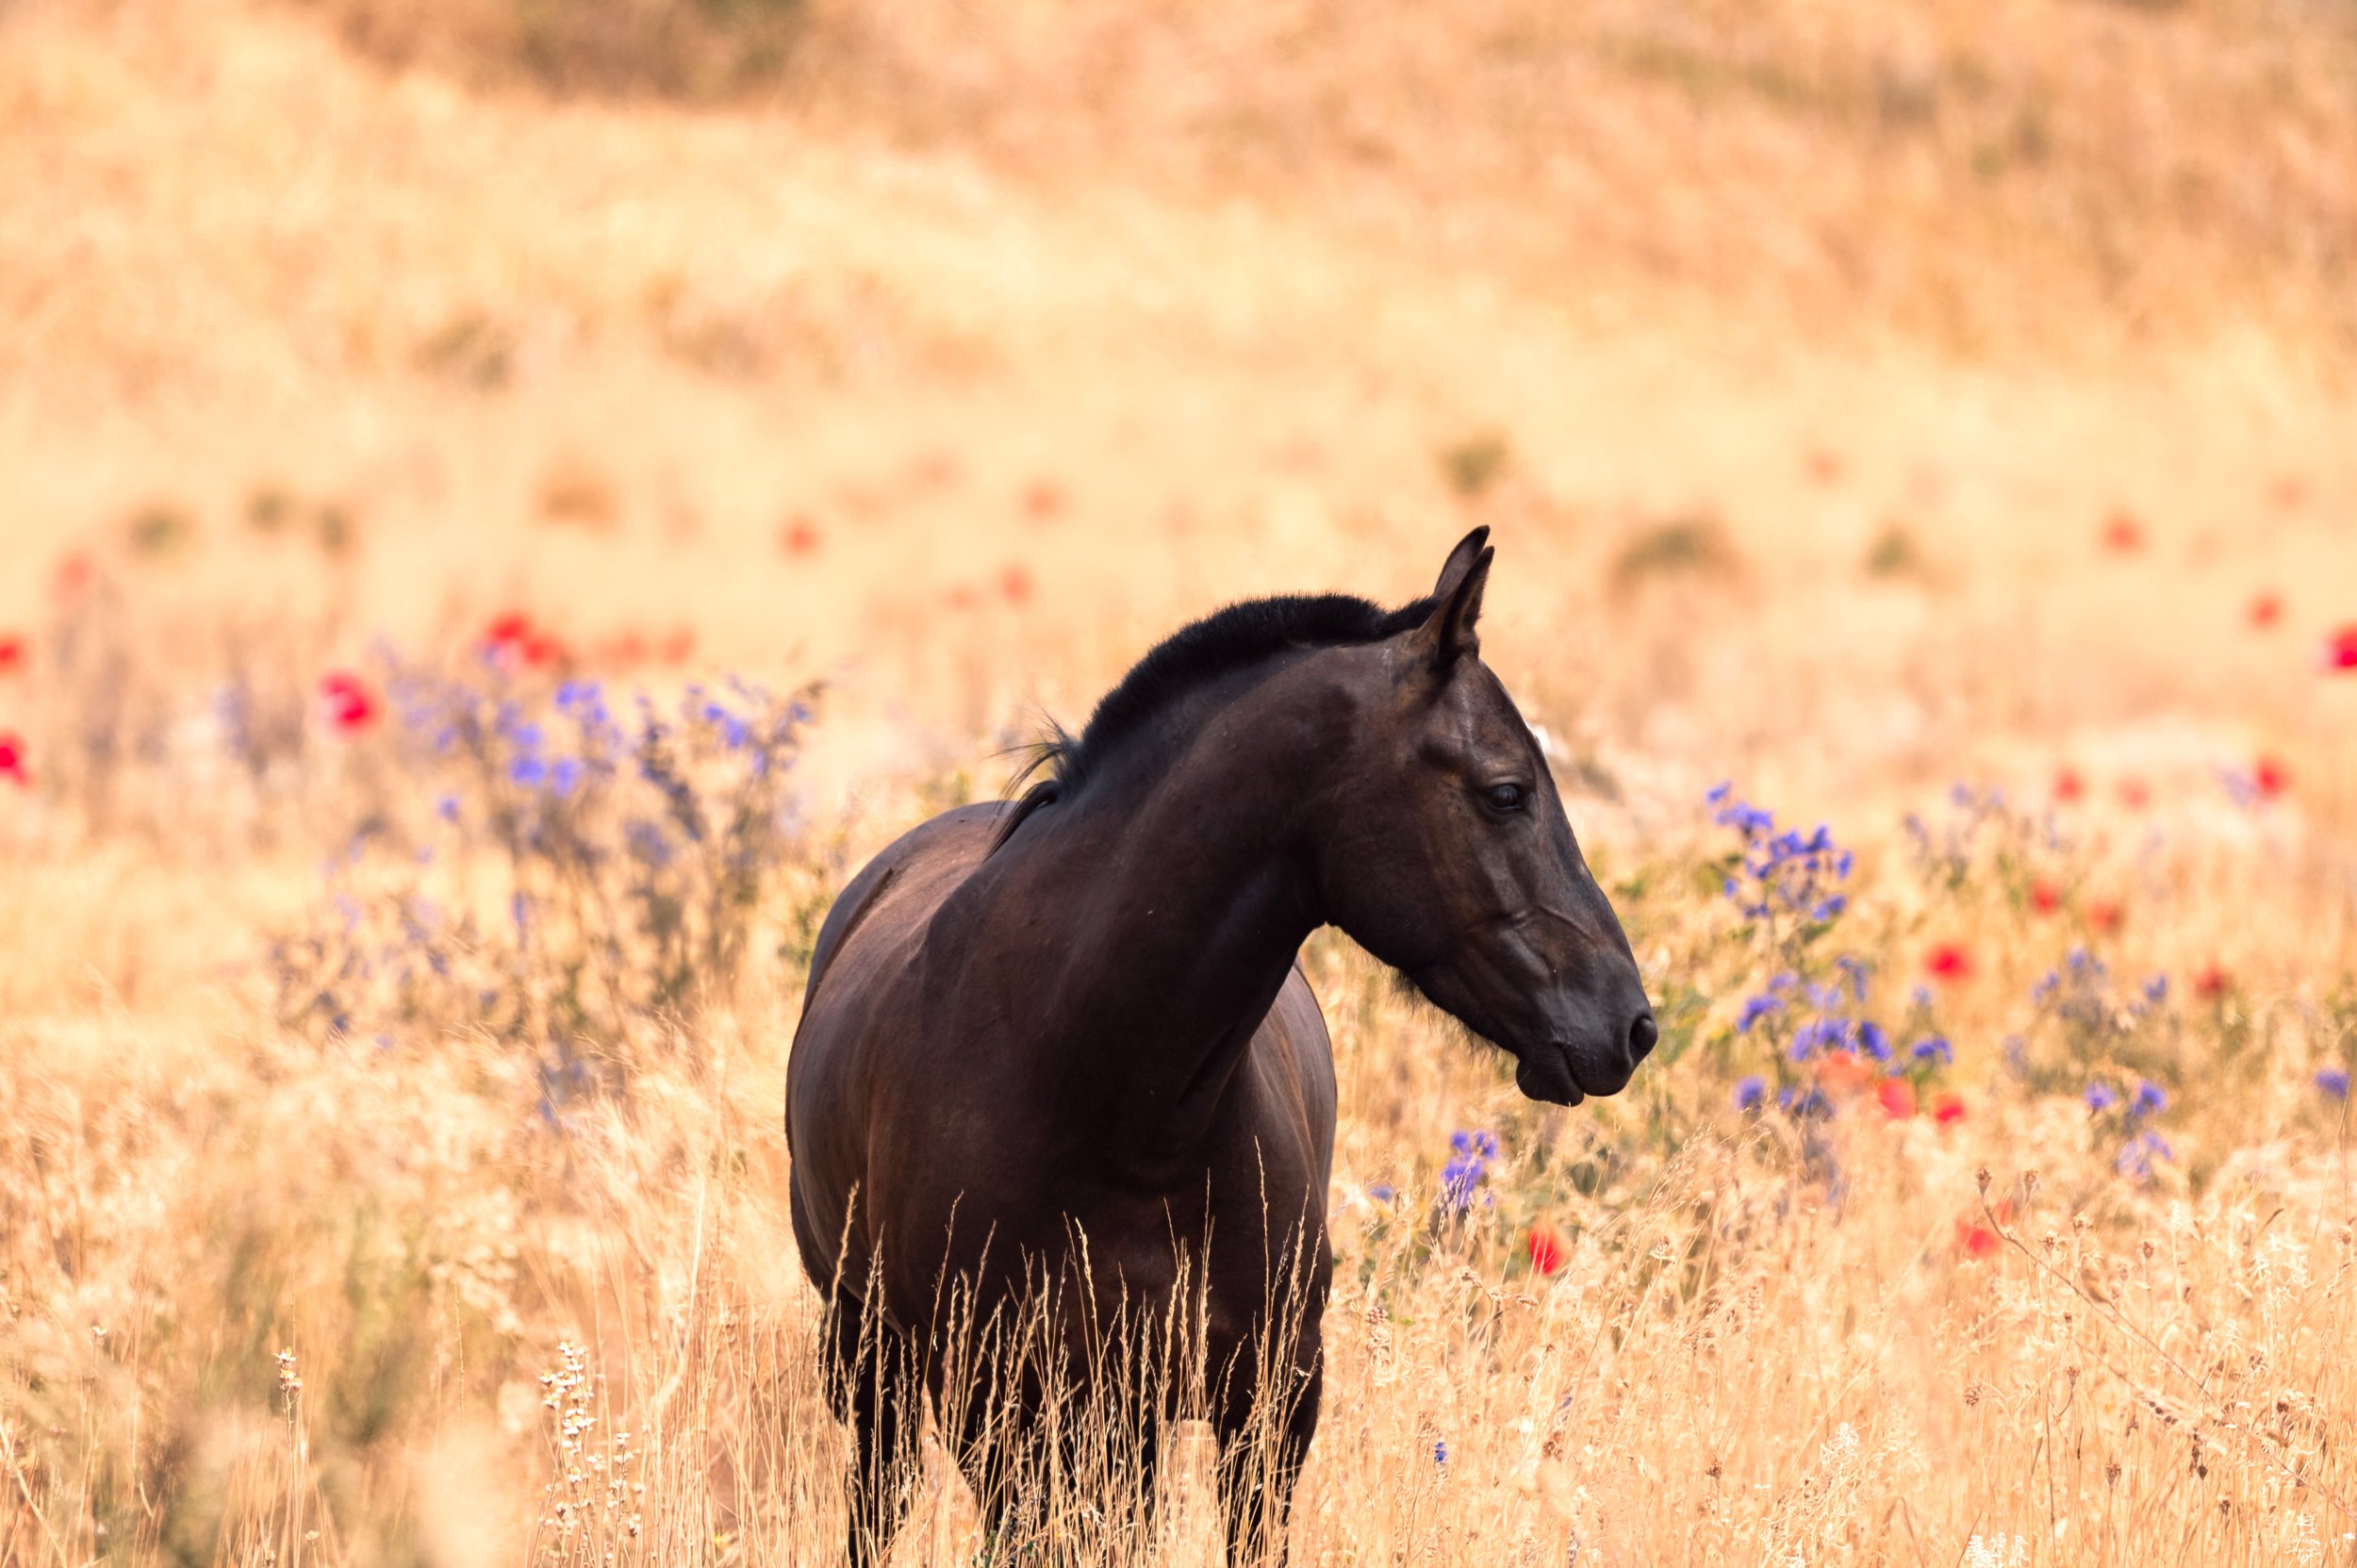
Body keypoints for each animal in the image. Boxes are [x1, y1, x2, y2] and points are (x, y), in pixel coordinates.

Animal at [786, 527, 1657, 1563]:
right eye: (1506, 792)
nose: (1628, 1022)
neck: (1107, 1099)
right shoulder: (995, 1402)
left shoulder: (1269, 1405)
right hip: (881, 1372)